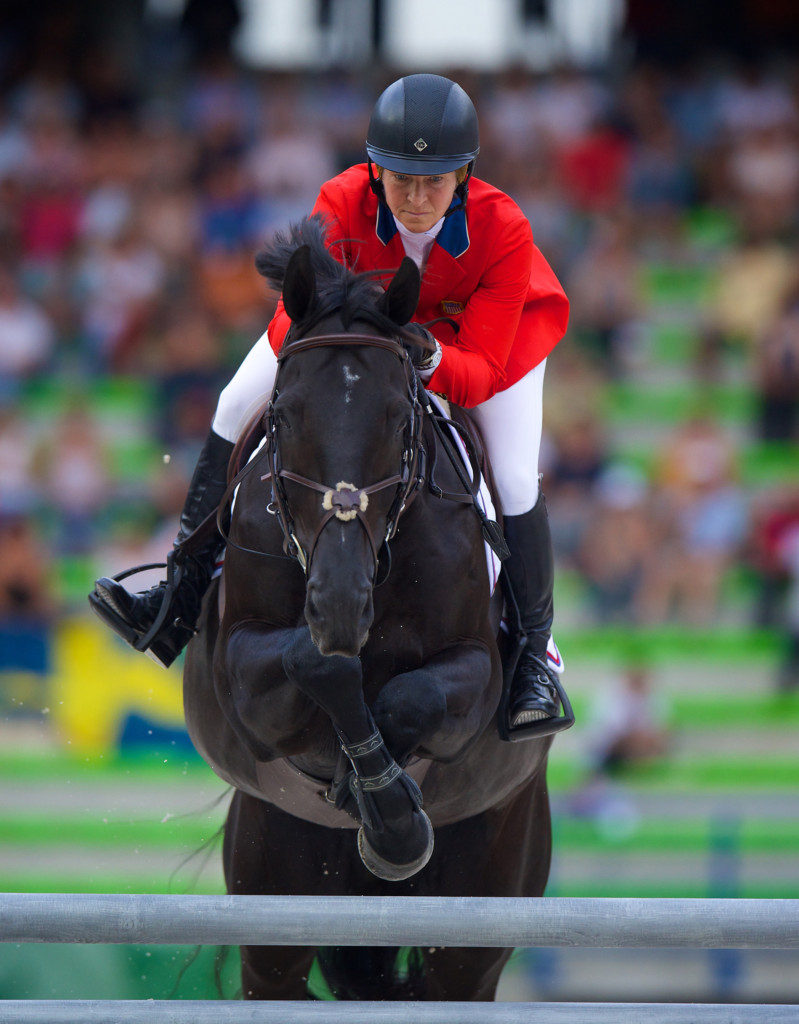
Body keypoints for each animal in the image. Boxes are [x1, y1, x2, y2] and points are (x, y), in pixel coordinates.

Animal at [183, 218, 553, 999]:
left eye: (396, 418)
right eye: (285, 416)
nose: (341, 602)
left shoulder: (475, 673)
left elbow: (409, 698)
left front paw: (390, 817)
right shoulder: (241, 670)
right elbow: (318, 664)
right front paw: (373, 793)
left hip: (487, 888)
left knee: (453, 973)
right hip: (273, 881)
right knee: (281, 969)